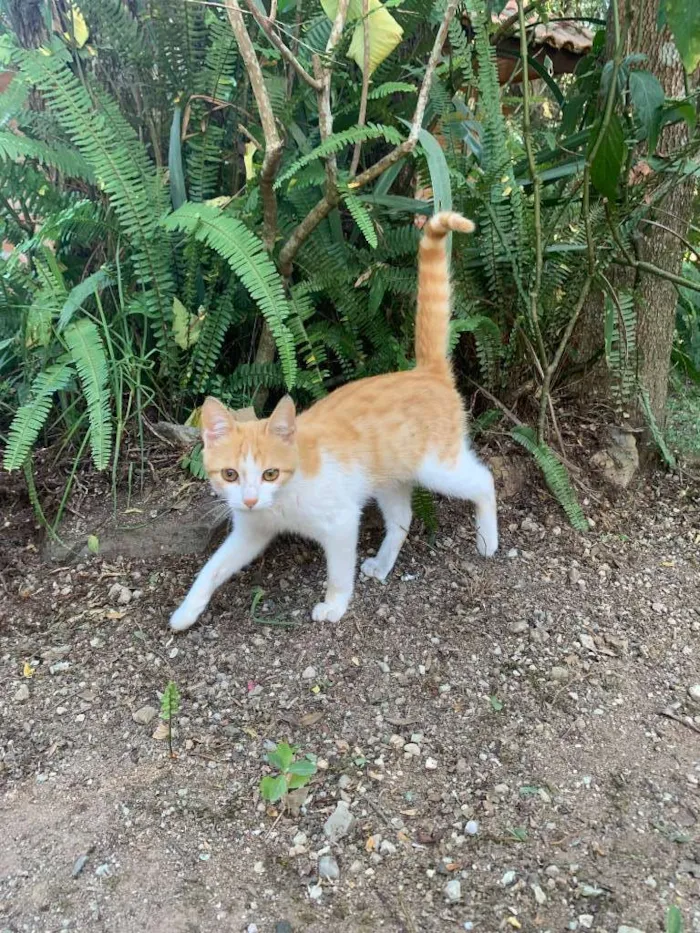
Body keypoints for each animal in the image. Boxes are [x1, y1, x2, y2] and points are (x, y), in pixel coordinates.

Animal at [169, 212, 498, 632]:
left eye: (270, 473)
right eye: (230, 474)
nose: (250, 499)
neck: (282, 500)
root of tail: (425, 371)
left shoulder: (341, 520)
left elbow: (339, 571)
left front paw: (335, 605)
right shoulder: (251, 531)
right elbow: (210, 569)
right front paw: (186, 610)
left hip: (437, 467)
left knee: (484, 481)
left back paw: (488, 540)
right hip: (389, 476)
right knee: (402, 517)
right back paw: (384, 562)